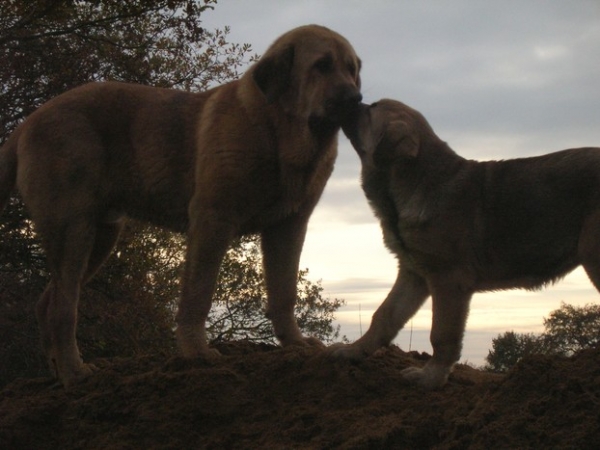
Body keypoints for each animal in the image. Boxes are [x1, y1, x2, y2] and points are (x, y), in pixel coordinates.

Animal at [0, 25, 360, 386]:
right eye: (322, 65)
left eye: (352, 69)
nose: (355, 99)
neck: (279, 134)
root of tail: (27, 123)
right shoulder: (212, 219)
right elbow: (198, 292)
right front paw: (196, 351)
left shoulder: (288, 227)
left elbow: (284, 292)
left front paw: (295, 343)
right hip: (73, 230)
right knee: (62, 308)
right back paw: (75, 372)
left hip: (101, 236)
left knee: (47, 303)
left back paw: (58, 373)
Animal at [336, 99, 600, 390]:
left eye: (371, 109)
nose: (350, 99)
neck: (413, 180)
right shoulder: (414, 274)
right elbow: (385, 315)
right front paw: (355, 350)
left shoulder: (448, 280)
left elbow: (442, 334)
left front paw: (431, 377)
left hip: (593, 253)